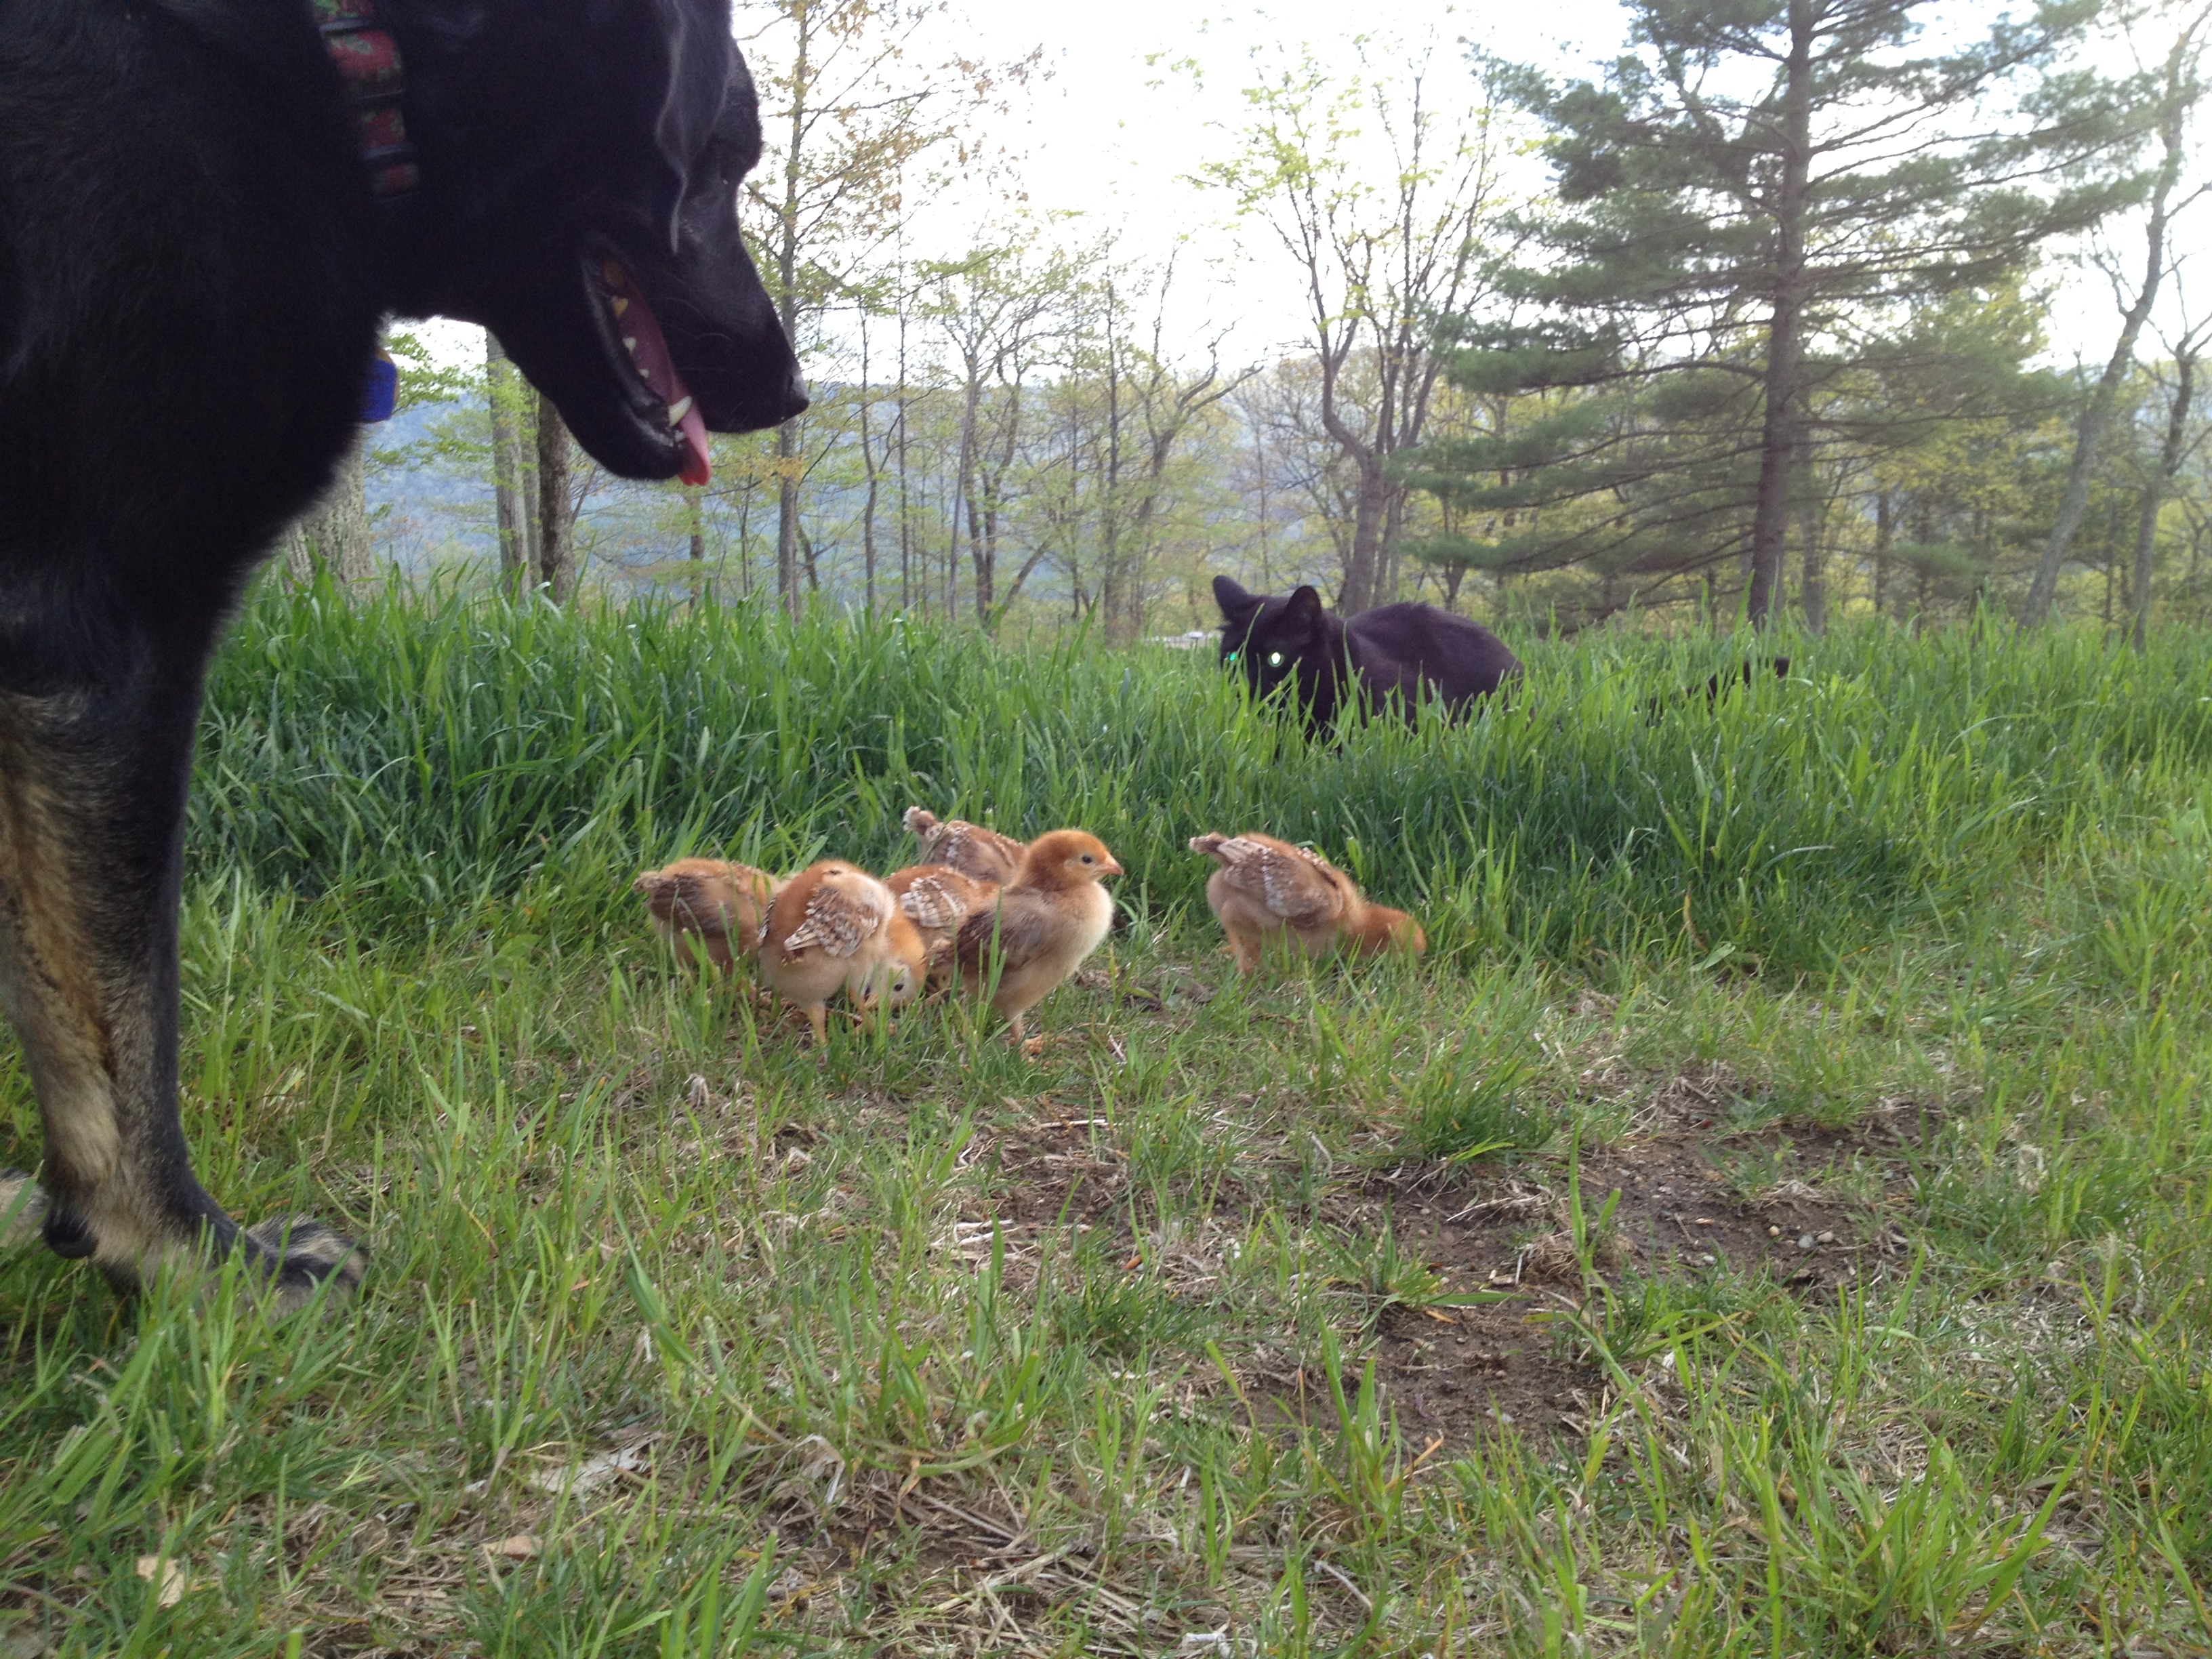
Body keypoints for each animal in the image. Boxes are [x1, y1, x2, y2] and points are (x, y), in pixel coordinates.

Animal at [0, 0, 814, 1309]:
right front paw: (194, 1256)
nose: (792, 390)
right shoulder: (103, 634)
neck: (344, 72)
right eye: (729, 156)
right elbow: (123, 1018)